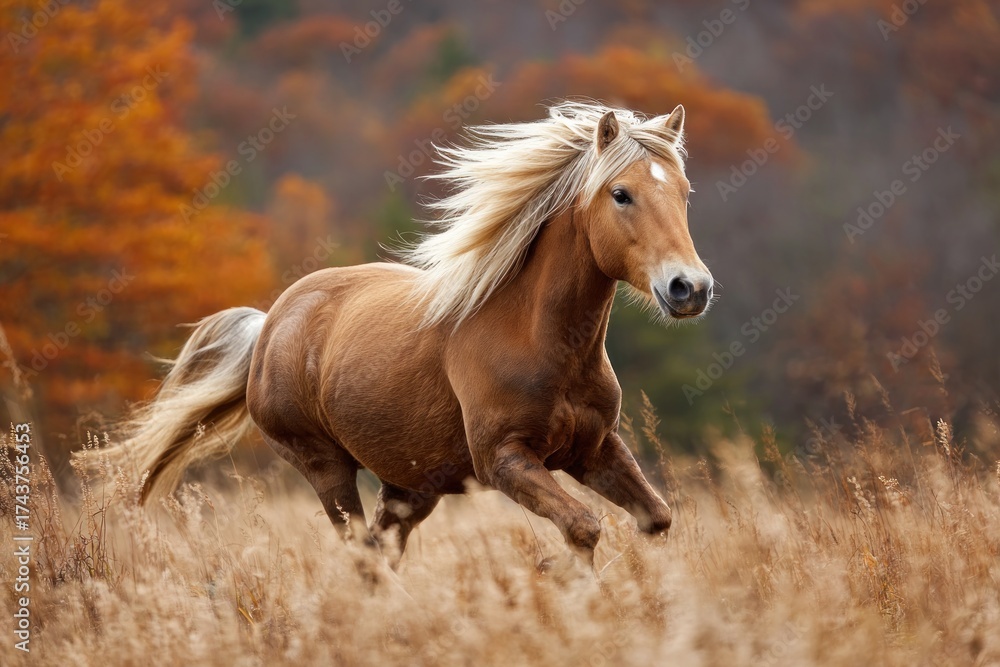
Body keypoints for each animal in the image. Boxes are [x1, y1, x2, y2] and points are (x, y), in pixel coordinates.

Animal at [96, 101, 714, 566]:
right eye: (621, 193)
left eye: (685, 193)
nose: (690, 287)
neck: (542, 340)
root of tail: (270, 323)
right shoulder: (505, 461)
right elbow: (584, 526)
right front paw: (554, 578)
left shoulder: (595, 450)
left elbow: (655, 519)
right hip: (326, 468)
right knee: (361, 553)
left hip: (412, 484)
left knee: (381, 548)